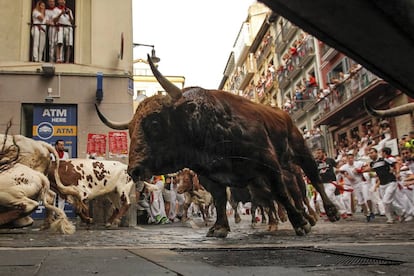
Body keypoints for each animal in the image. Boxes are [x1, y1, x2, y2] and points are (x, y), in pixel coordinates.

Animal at [96, 56, 340, 237]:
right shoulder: (211, 178)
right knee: (296, 191)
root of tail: (282, 114)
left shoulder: (267, 164)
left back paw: (328, 213)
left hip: (300, 151)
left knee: (313, 180)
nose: (134, 170)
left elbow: (280, 193)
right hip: (281, 170)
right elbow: (221, 200)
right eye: (130, 130)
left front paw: (299, 224)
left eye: (155, 123)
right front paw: (219, 228)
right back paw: (308, 216)